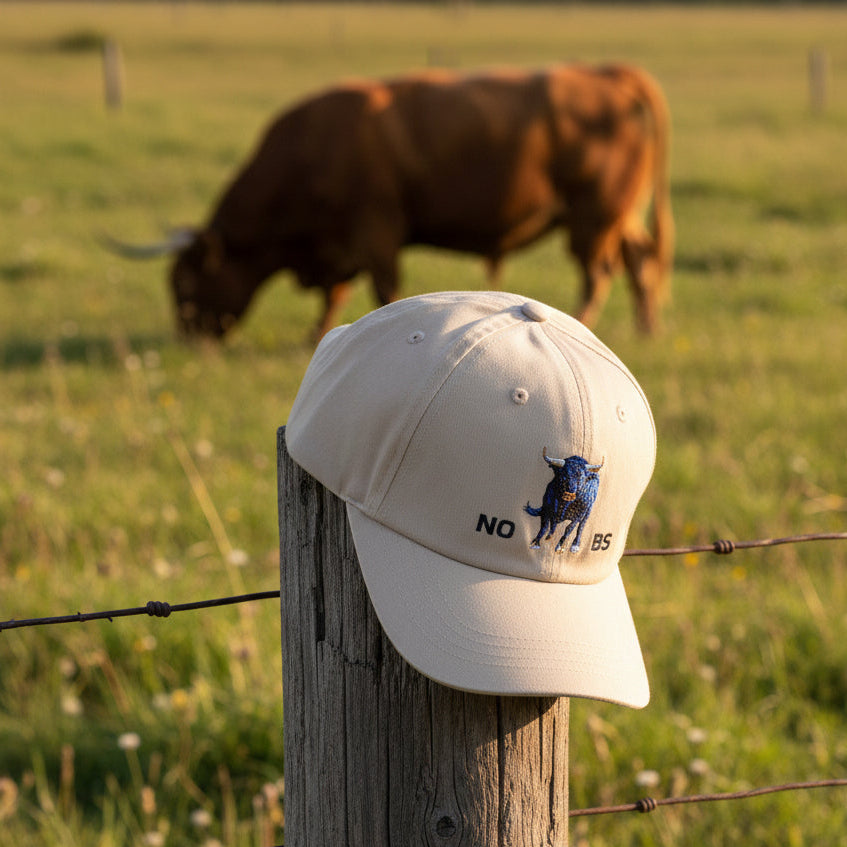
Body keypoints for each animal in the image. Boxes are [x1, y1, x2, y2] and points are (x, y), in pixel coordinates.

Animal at [106, 64, 673, 341]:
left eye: (183, 283)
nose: (187, 337)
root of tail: (606, 73)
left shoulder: (374, 232)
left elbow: (381, 291)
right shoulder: (340, 247)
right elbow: (334, 295)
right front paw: (318, 334)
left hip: (594, 218)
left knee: (598, 274)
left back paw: (584, 322)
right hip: (618, 218)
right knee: (638, 261)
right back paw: (646, 327)